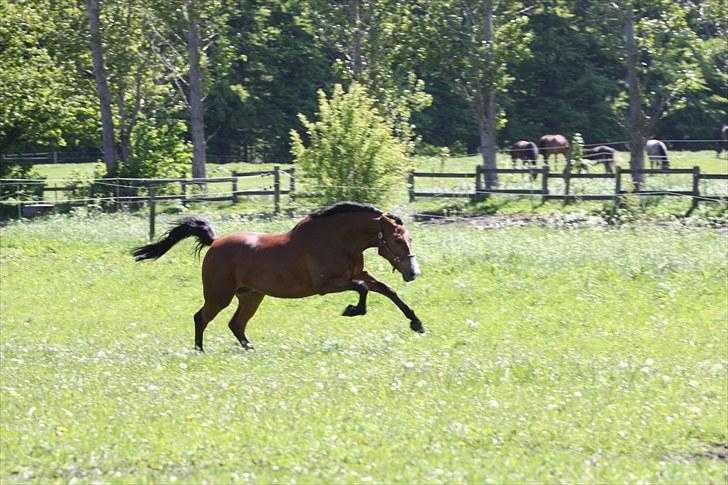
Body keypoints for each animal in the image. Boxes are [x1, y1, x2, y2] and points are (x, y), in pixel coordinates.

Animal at [134, 201, 424, 352]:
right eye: (397, 240)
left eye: (409, 239)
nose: (413, 273)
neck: (336, 239)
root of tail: (214, 243)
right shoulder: (327, 284)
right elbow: (362, 289)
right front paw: (352, 310)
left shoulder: (358, 273)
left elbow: (387, 290)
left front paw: (416, 323)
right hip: (219, 296)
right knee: (201, 318)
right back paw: (200, 351)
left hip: (251, 296)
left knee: (236, 324)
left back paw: (250, 350)